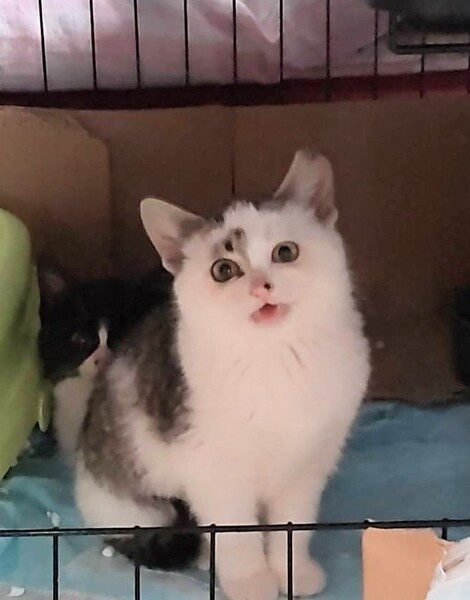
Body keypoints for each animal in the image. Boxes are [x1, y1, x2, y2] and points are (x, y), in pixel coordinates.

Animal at [75, 150, 370, 600]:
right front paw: (251, 582)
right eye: (223, 271)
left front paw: (293, 572)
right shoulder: (215, 472)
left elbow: (293, 522)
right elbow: (235, 533)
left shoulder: (308, 463)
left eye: (286, 252)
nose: (261, 286)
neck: (275, 358)